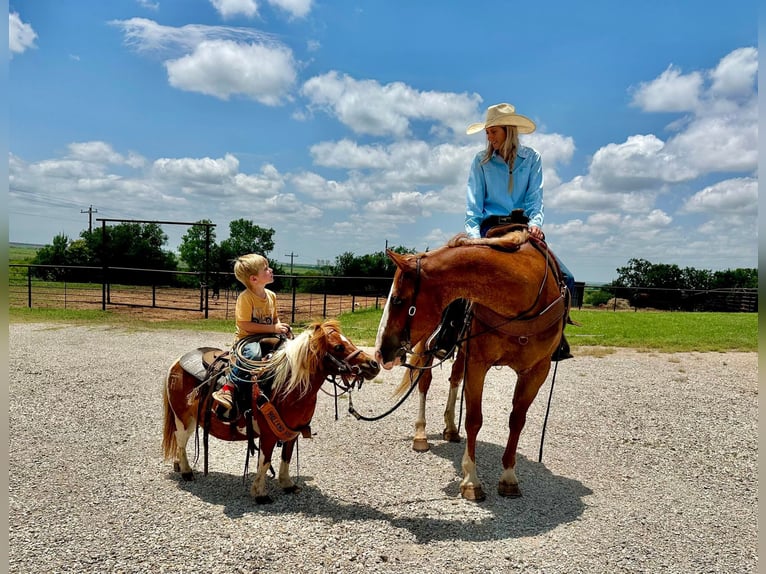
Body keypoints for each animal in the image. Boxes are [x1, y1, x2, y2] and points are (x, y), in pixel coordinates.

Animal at [164, 320, 380, 504]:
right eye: (338, 347)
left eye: (348, 340)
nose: (374, 364)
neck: (285, 386)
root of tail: (177, 362)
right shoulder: (267, 435)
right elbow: (265, 461)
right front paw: (260, 493)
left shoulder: (292, 432)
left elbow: (286, 457)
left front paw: (287, 484)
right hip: (183, 418)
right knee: (181, 440)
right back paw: (186, 471)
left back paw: (179, 465)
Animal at [376, 232, 568, 502]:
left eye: (397, 300)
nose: (380, 352)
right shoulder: (478, 364)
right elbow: (474, 419)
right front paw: (471, 481)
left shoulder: (536, 371)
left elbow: (517, 420)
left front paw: (509, 477)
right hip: (427, 346)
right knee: (424, 383)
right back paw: (421, 435)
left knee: (454, 378)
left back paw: (450, 428)